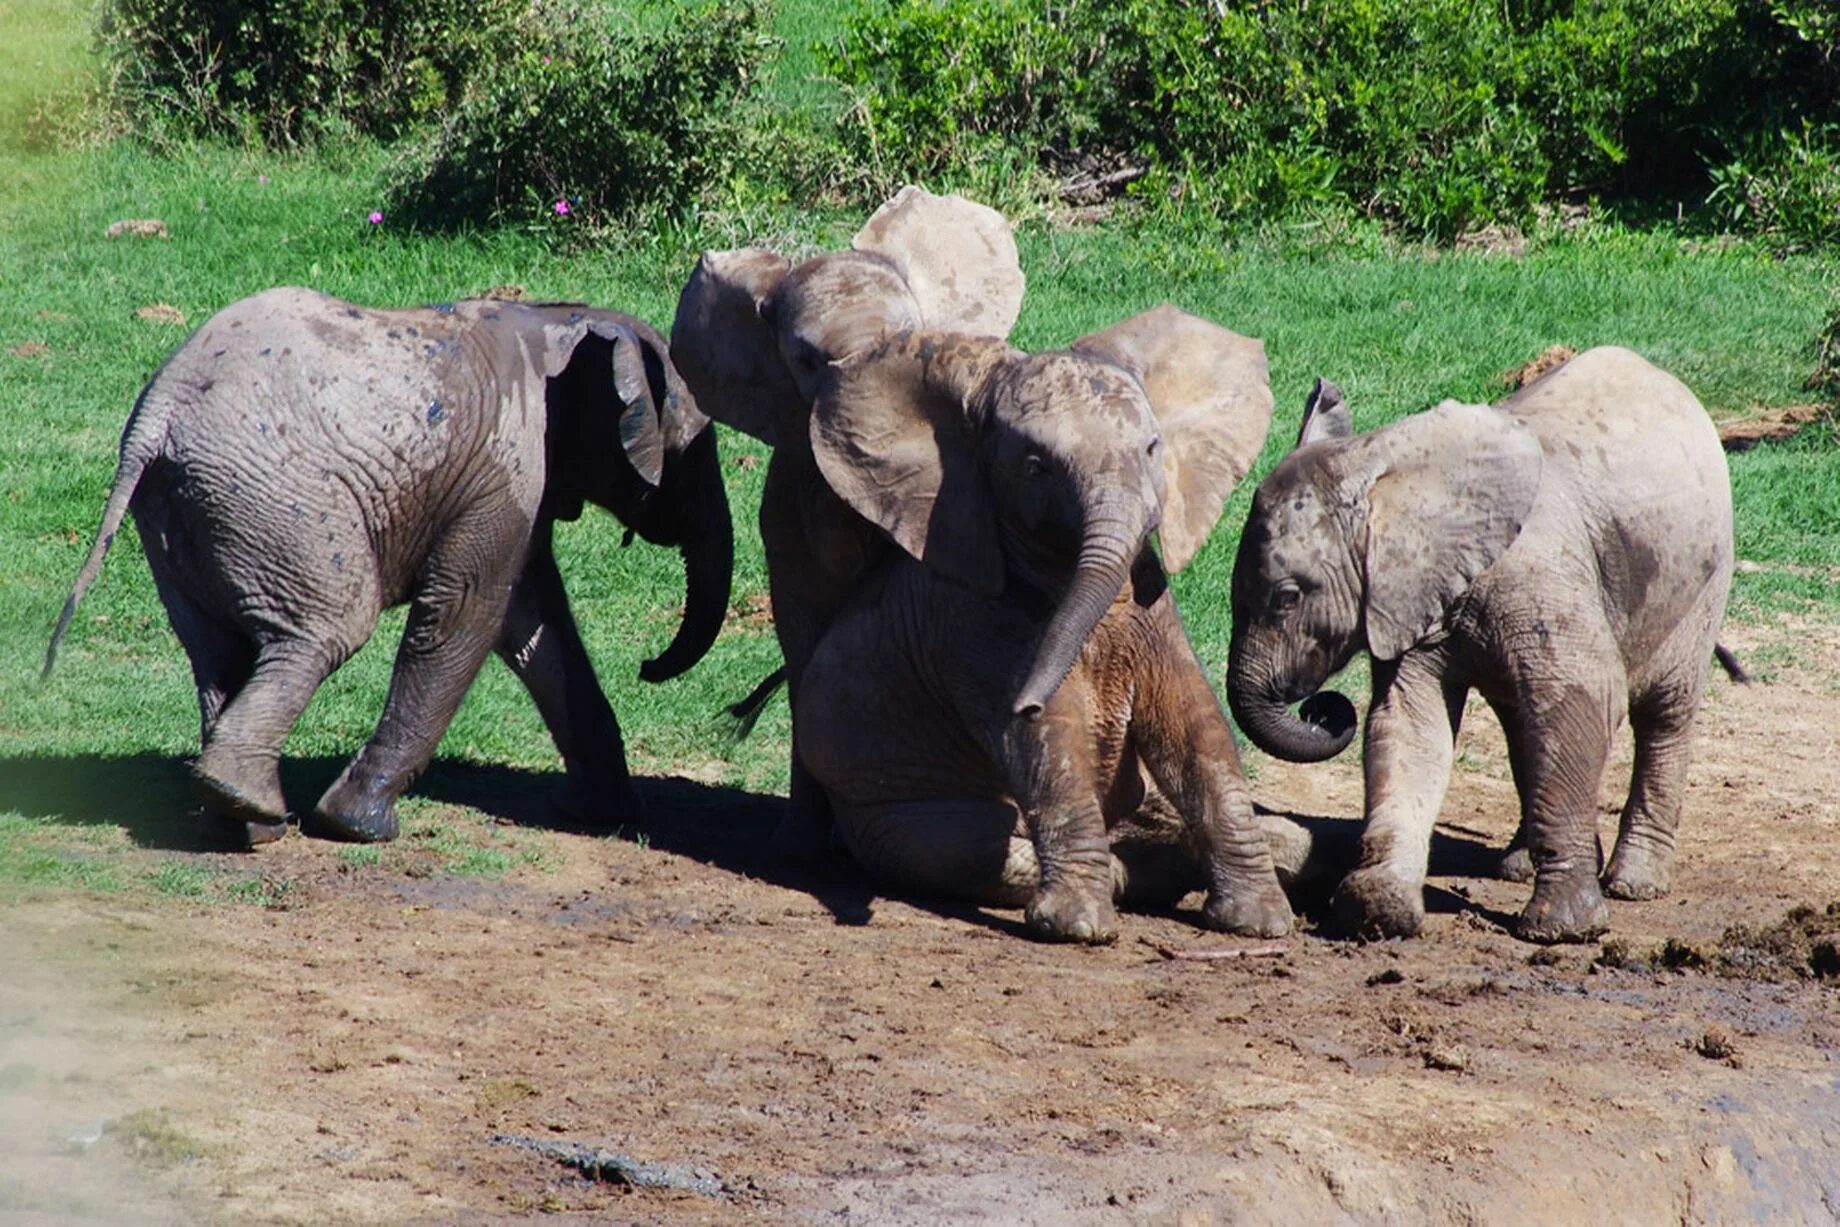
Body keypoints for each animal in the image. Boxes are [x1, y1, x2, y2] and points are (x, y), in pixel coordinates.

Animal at [44, 286, 732, 849]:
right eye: (695, 447)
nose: (647, 666)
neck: (558, 321)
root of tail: (155, 415)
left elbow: (532, 621)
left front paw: (605, 815)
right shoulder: (503, 465)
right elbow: (469, 611)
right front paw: (359, 827)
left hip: (182, 513)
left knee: (218, 653)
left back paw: (238, 820)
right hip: (276, 499)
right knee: (326, 631)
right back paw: (255, 810)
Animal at [791, 312, 1295, 949]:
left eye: (1152, 449)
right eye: (1036, 469)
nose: (1025, 699)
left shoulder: (1153, 604)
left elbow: (1195, 722)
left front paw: (1262, 922)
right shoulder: (975, 623)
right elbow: (1047, 741)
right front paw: (1077, 927)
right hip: (877, 808)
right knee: (973, 847)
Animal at [1221, 349, 1736, 949]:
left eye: (1287, 597)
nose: (1321, 709)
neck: (1385, 464)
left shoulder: (1539, 574)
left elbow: (1582, 698)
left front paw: (1561, 929)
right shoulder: (1409, 594)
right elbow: (1409, 722)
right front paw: (1377, 912)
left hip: (1702, 580)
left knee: (1664, 714)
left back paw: (1634, 883)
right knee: (1521, 726)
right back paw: (1517, 866)